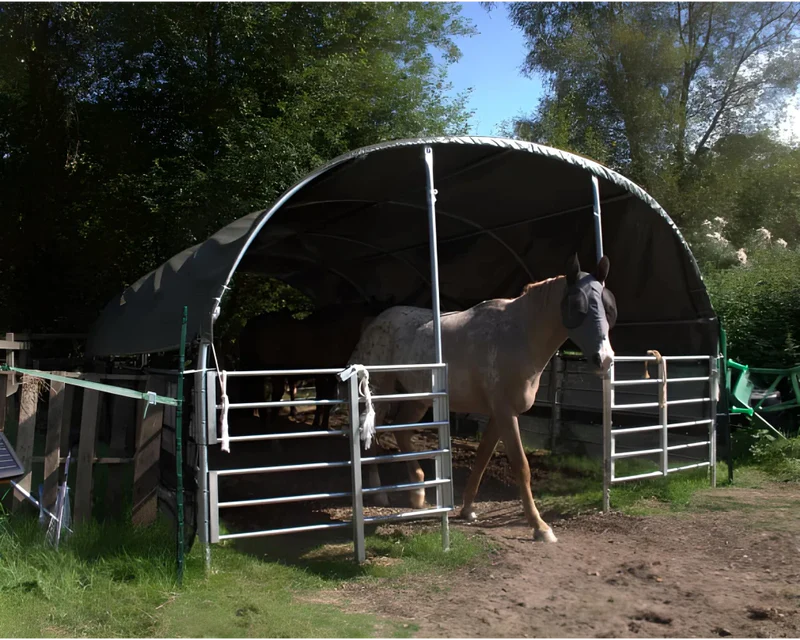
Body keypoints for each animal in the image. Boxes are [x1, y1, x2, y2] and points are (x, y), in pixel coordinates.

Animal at [346, 252, 616, 544]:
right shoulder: (506, 412)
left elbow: (482, 458)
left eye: (608, 307)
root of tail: (373, 323)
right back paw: (381, 494)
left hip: (419, 398)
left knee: (402, 432)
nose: (605, 359)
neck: (519, 334)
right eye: (578, 305)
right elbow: (521, 466)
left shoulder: (500, 414)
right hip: (381, 394)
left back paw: (417, 492)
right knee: (373, 437)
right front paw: (540, 527)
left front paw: (467, 510)